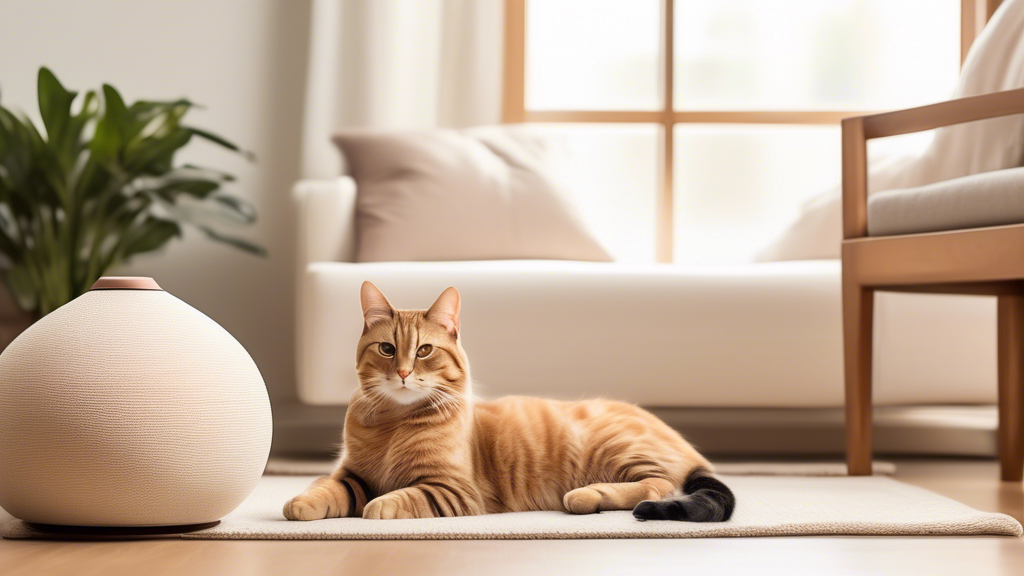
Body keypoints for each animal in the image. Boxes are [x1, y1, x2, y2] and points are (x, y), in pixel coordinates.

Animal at [284, 282, 733, 520]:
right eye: (388, 349)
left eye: (424, 351)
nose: (404, 373)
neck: (394, 423)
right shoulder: (352, 474)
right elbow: (327, 486)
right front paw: (302, 502)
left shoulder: (452, 489)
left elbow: (401, 496)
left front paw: (379, 506)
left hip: (619, 449)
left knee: (659, 484)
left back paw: (588, 496)